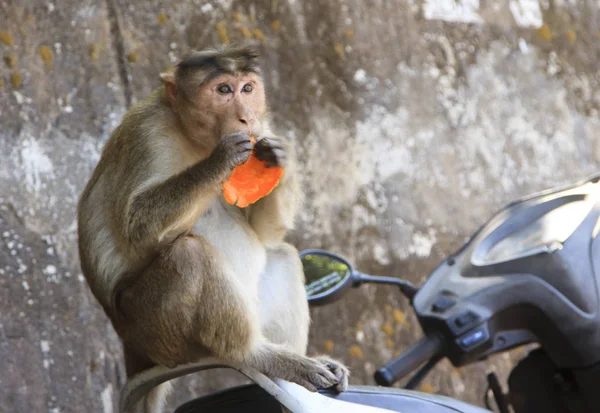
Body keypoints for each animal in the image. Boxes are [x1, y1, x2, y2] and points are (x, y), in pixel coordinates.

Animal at [77, 43, 350, 410]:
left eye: (247, 88)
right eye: (223, 90)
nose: (246, 117)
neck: (195, 138)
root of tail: (133, 349)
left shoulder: (264, 125)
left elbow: (264, 232)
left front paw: (281, 155)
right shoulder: (148, 134)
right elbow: (137, 226)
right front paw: (221, 161)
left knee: (282, 255)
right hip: (155, 333)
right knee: (190, 254)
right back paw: (255, 355)